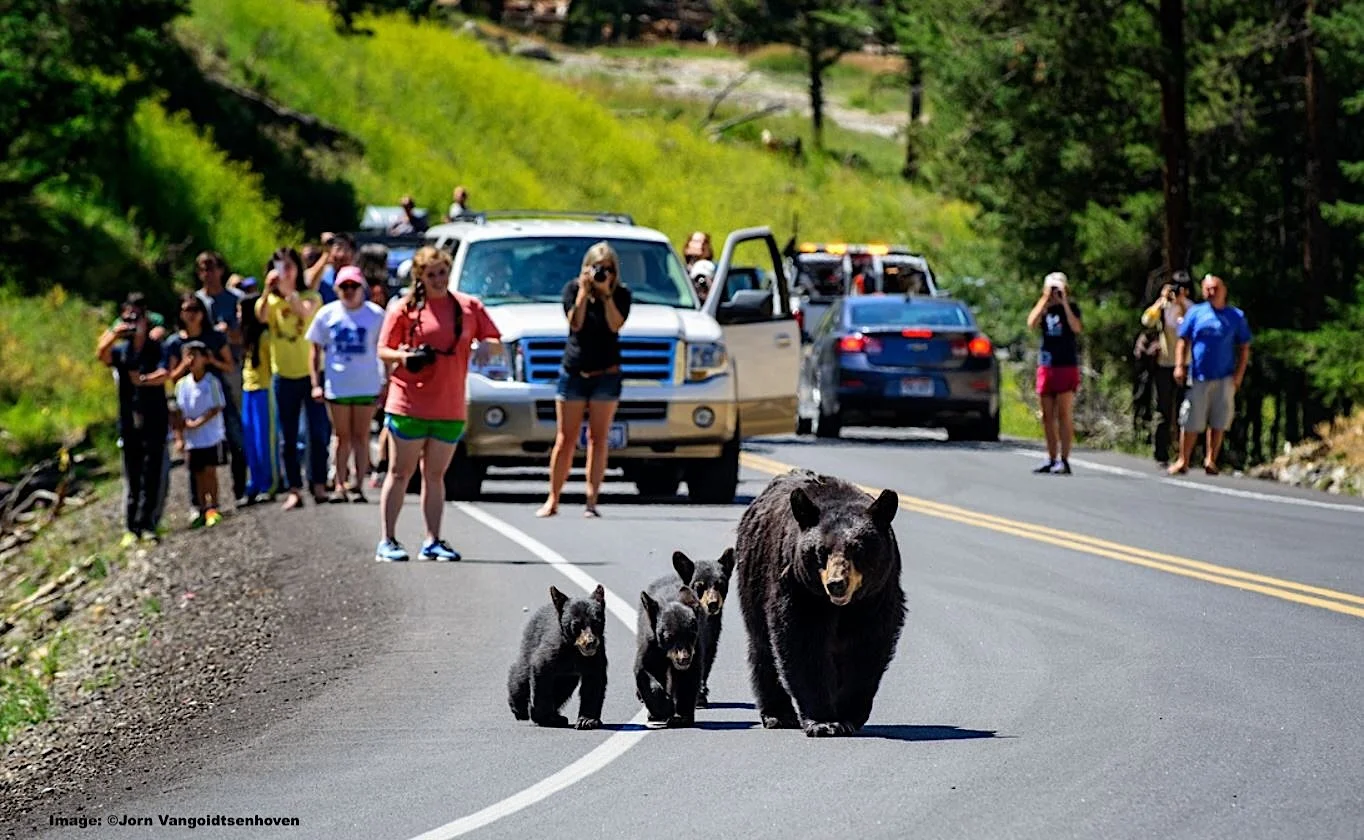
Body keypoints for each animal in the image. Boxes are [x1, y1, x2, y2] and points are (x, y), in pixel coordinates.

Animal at [507, 584, 608, 730]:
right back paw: (519, 709)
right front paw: (543, 716)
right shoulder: (552, 650)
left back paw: (557, 715)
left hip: (567, 677)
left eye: (596, 623)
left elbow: (594, 683)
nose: (590, 642)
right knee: (521, 674)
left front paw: (587, 720)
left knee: (563, 689)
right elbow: (541, 671)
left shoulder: (597, 655)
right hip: (530, 641)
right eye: (576, 625)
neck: (574, 650)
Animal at [634, 582, 704, 728]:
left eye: (691, 634)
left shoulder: (696, 649)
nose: (683, 658)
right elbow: (644, 669)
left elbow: (688, 678)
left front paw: (682, 717)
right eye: (668, 637)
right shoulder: (650, 643)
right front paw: (665, 709)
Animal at [663, 549, 736, 707]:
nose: (713, 604)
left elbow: (707, 658)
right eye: (699, 586)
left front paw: (701, 693)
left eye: (721, 584)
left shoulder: (713, 633)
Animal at [735, 468, 905, 737]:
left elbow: (867, 646)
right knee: (762, 646)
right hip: (753, 580)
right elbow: (802, 641)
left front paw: (848, 714)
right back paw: (778, 714)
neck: (840, 606)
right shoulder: (800, 588)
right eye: (821, 551)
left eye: (858, 549)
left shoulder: (877, 595)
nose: (836, 584)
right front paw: (825, 722)